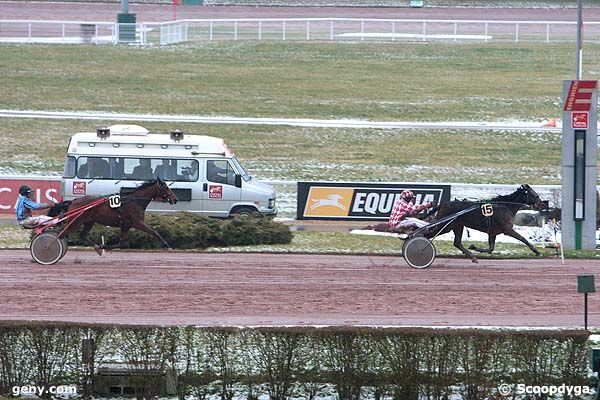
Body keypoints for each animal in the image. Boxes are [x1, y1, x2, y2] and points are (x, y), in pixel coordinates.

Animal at [48, 179, 178, 253]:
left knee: (82, 235)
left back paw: (97, 247)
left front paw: (103, 246)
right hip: (75, 220)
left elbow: (123, 243)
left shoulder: (126, 226)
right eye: (166, 187)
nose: (175, 199)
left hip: (89, 221)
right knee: (62, 233)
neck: (135, 201)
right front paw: (168, 246)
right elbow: (155, 232)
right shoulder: (138, 222)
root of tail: (73, 201)